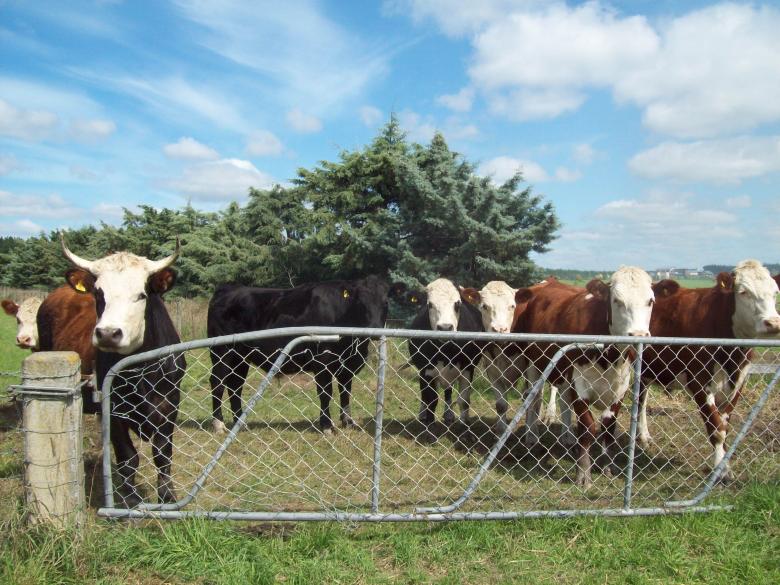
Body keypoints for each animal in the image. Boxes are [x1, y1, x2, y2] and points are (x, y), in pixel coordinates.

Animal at [61, 235, 184, 507]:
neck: (140, 373)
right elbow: (128, 458)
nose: (108, 333)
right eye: (98, 293)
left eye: (141, 295)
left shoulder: (169, 406)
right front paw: (130, 500)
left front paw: (167, 497)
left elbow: (163, 454)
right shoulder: (113, 411)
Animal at [207, 276, 403, 434]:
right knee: (218, 382)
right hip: (222, 352)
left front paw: (348, 421)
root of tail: (230, 288)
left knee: (235, 385)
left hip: (241, 357)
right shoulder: (322, 362)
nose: (375, 330)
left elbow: (345, 391)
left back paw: (240, 423)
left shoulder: (348, 365)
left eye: (385, 303)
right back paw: (218, 424)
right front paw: (326, 426)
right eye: (361, 303)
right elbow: (326, 393)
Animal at [406, 278, 484, 433]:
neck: (446, 350)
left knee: (448, 391)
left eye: (457, 304)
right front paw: (429, 427)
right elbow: (431, 399)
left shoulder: (468, 368)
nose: (445, 328)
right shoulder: (426, 370)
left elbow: (464, 400)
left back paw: (448, 415)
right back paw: (423, 414)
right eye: (429, 304)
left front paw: (464, 429)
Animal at [512, 267, 657, 487]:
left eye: (650, 301)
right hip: (532, 362)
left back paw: (567, 437)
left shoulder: (620, 388)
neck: (609, 359)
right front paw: (583, 474)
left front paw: (607, 466)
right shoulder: (580, 386)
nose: (639, 336)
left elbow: (608, 428)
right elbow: (588, 428)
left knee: (563, 400)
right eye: (617, 300)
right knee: (533, 398)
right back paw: (532, 437)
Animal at [637, 260, 780, 480]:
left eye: (775, 293)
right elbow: (716, 429)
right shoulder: (699, 382)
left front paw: (725, 466)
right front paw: (721, 472)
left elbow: (725, 426)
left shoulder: (738, 383)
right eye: (744, 292)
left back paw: (643, 436)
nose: (773, 323)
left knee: (641, 400)